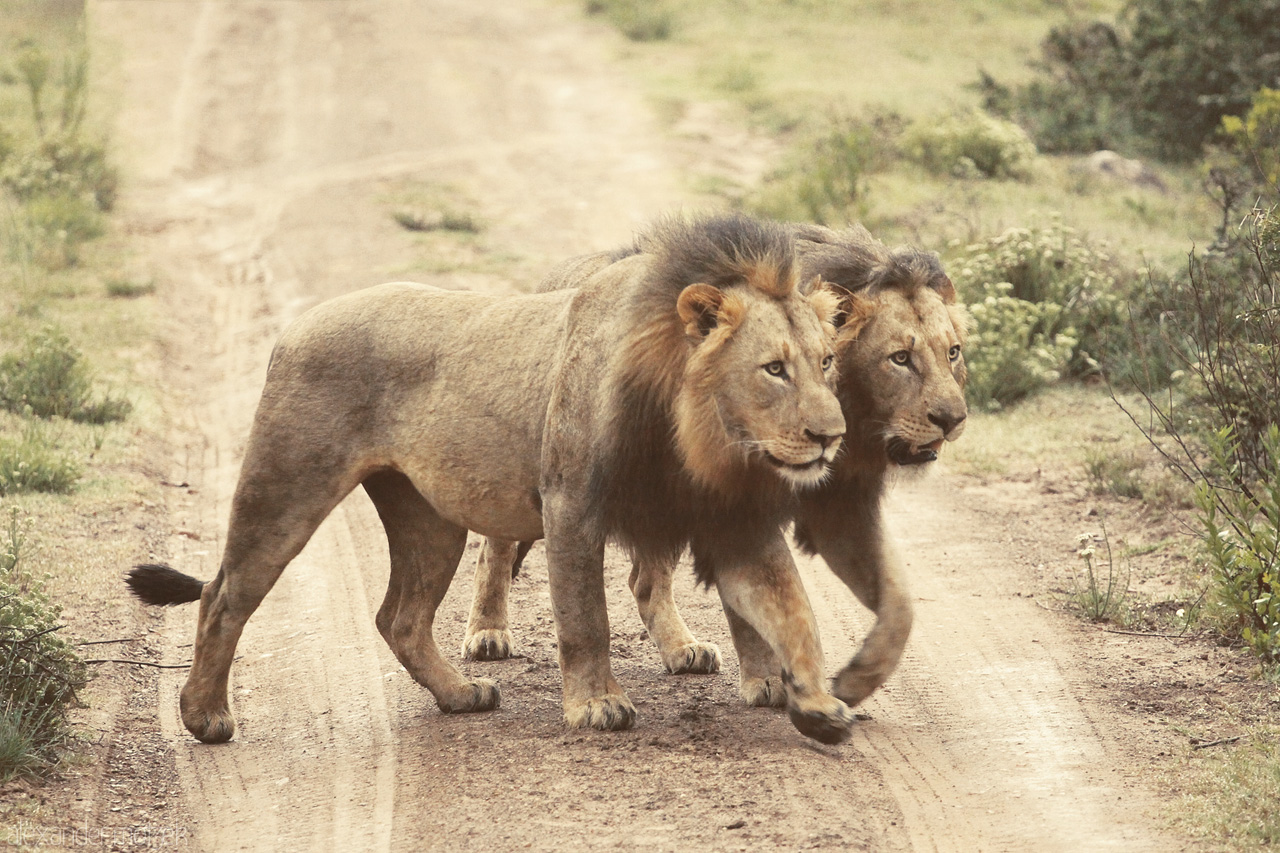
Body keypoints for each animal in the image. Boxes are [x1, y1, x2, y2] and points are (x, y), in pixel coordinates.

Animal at [124, 213, 865, 742]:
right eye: (774, 368)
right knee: (224, 593)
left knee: (400, 617)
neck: (696, 431)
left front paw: (813, 698)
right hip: (286, 486)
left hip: (428, 518)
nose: (832, 435)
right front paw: (597, 706)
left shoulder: (732, 516)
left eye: (827, 361)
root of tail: (295, 325)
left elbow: (789, 607)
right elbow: (584, 615)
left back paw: (460, 695)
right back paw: (204, 717)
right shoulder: (570, 502)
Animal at [465, 220, 962, 712]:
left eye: (953, 352)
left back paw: (682, 648)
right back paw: (487, 633)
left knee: (646, 581)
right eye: (900, 358)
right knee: (495, 548)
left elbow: (898, 605)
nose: (954, 418)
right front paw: (772, 678)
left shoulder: (836, 507)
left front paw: (856, 677)